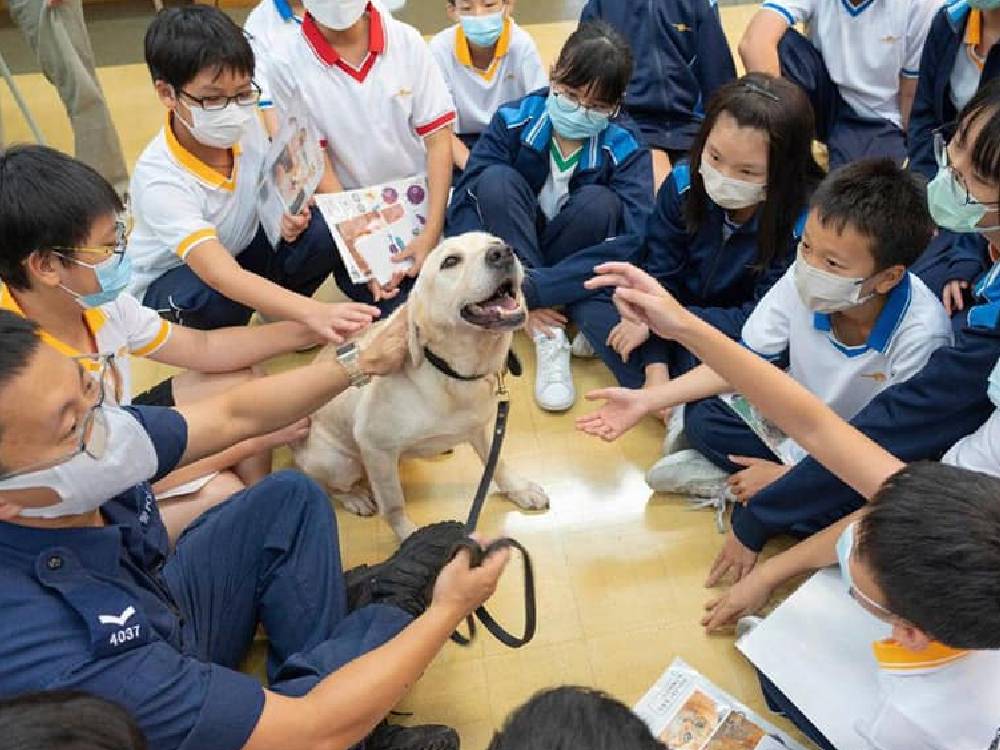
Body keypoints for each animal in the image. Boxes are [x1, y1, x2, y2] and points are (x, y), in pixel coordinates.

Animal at [292, 232, 552, 536]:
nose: (503, 253)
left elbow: (496, 461)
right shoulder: (376, 448)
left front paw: (518, 489)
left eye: (495, 241)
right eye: (450, 261)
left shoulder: (478, 427)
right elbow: (393, 506)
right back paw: (355, 497)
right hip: (339, 463)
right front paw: (409, 537)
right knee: (332, 488)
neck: (452, 374)